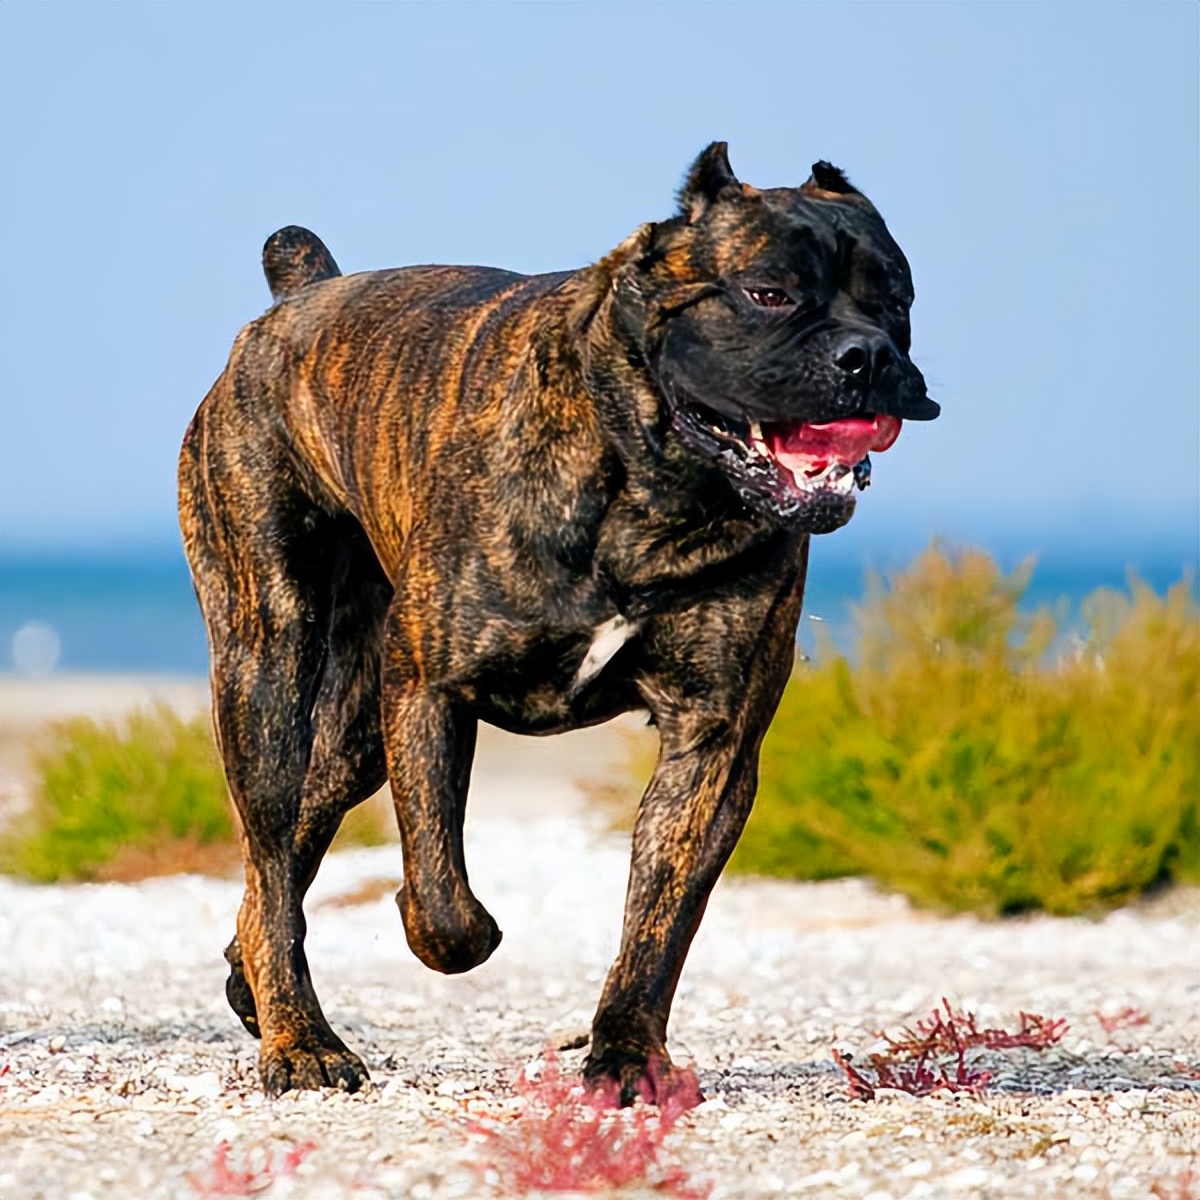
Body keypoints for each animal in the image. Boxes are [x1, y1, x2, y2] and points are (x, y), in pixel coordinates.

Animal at [175, 140, 936, 1099]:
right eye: (768, 292)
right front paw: (458, 929)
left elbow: (659, 919)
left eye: (897, 300)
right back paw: (301, 1042)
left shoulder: (713, 743)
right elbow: (442, 904)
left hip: (351, 735)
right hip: (267, 671)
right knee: (272, 850)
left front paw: (627, 1054)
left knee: (282, 852)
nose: (867, 354)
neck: (651, 483)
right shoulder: (429, 690)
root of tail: (297, 299)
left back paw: (252, 982)